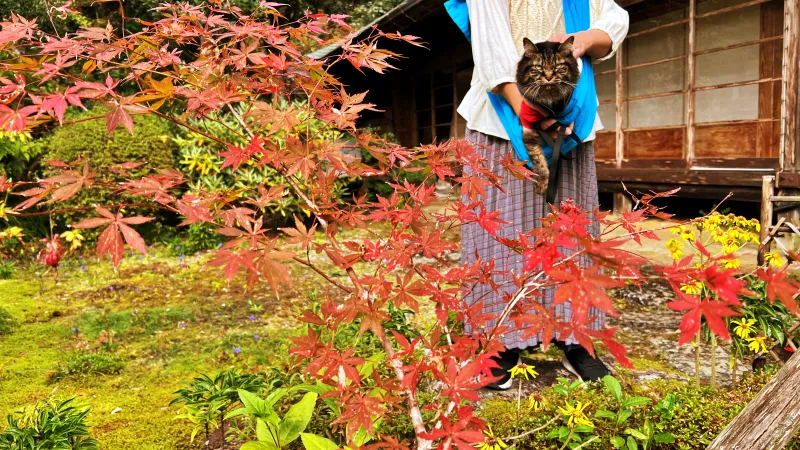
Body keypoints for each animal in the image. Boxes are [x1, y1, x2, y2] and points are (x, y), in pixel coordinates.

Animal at [516, 36, 580, 194]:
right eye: (539, 68)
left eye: (558, 67)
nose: (549, 77)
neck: (548, 99)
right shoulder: (528, 127)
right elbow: (537, 158)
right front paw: (541, 182)